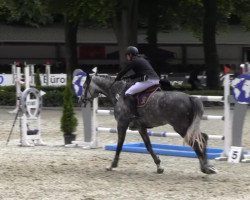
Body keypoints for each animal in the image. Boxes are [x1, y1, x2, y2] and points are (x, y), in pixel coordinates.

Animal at [82, 74, 217, 174]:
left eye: (83, 86)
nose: (81, 100)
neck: (118, 93)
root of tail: (189, 97)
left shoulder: (121, 124)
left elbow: (120, 145)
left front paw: (112, 165)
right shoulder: (141, 128)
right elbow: (148, 146)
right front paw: (159, 166)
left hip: (181, 127)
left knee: (197, 141)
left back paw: (205, 168)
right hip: (186, 126)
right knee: (203, 138)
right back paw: (207, 167)